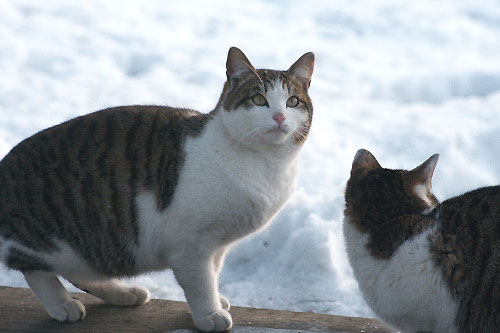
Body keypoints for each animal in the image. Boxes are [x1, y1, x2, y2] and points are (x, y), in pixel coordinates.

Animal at [0, 46, 312, 330]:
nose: (280, 117)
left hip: (84, 251)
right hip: (47, 240)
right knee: (33, 268)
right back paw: (63, 304)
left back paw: (123, 293)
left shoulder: (218, 244)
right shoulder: (191, 243)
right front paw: (209, 314)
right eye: (259, 99)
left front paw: (217, 299)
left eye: (293, 101)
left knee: (80, 270)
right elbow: (200, 282)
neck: (267, 166)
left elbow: (213, 272)